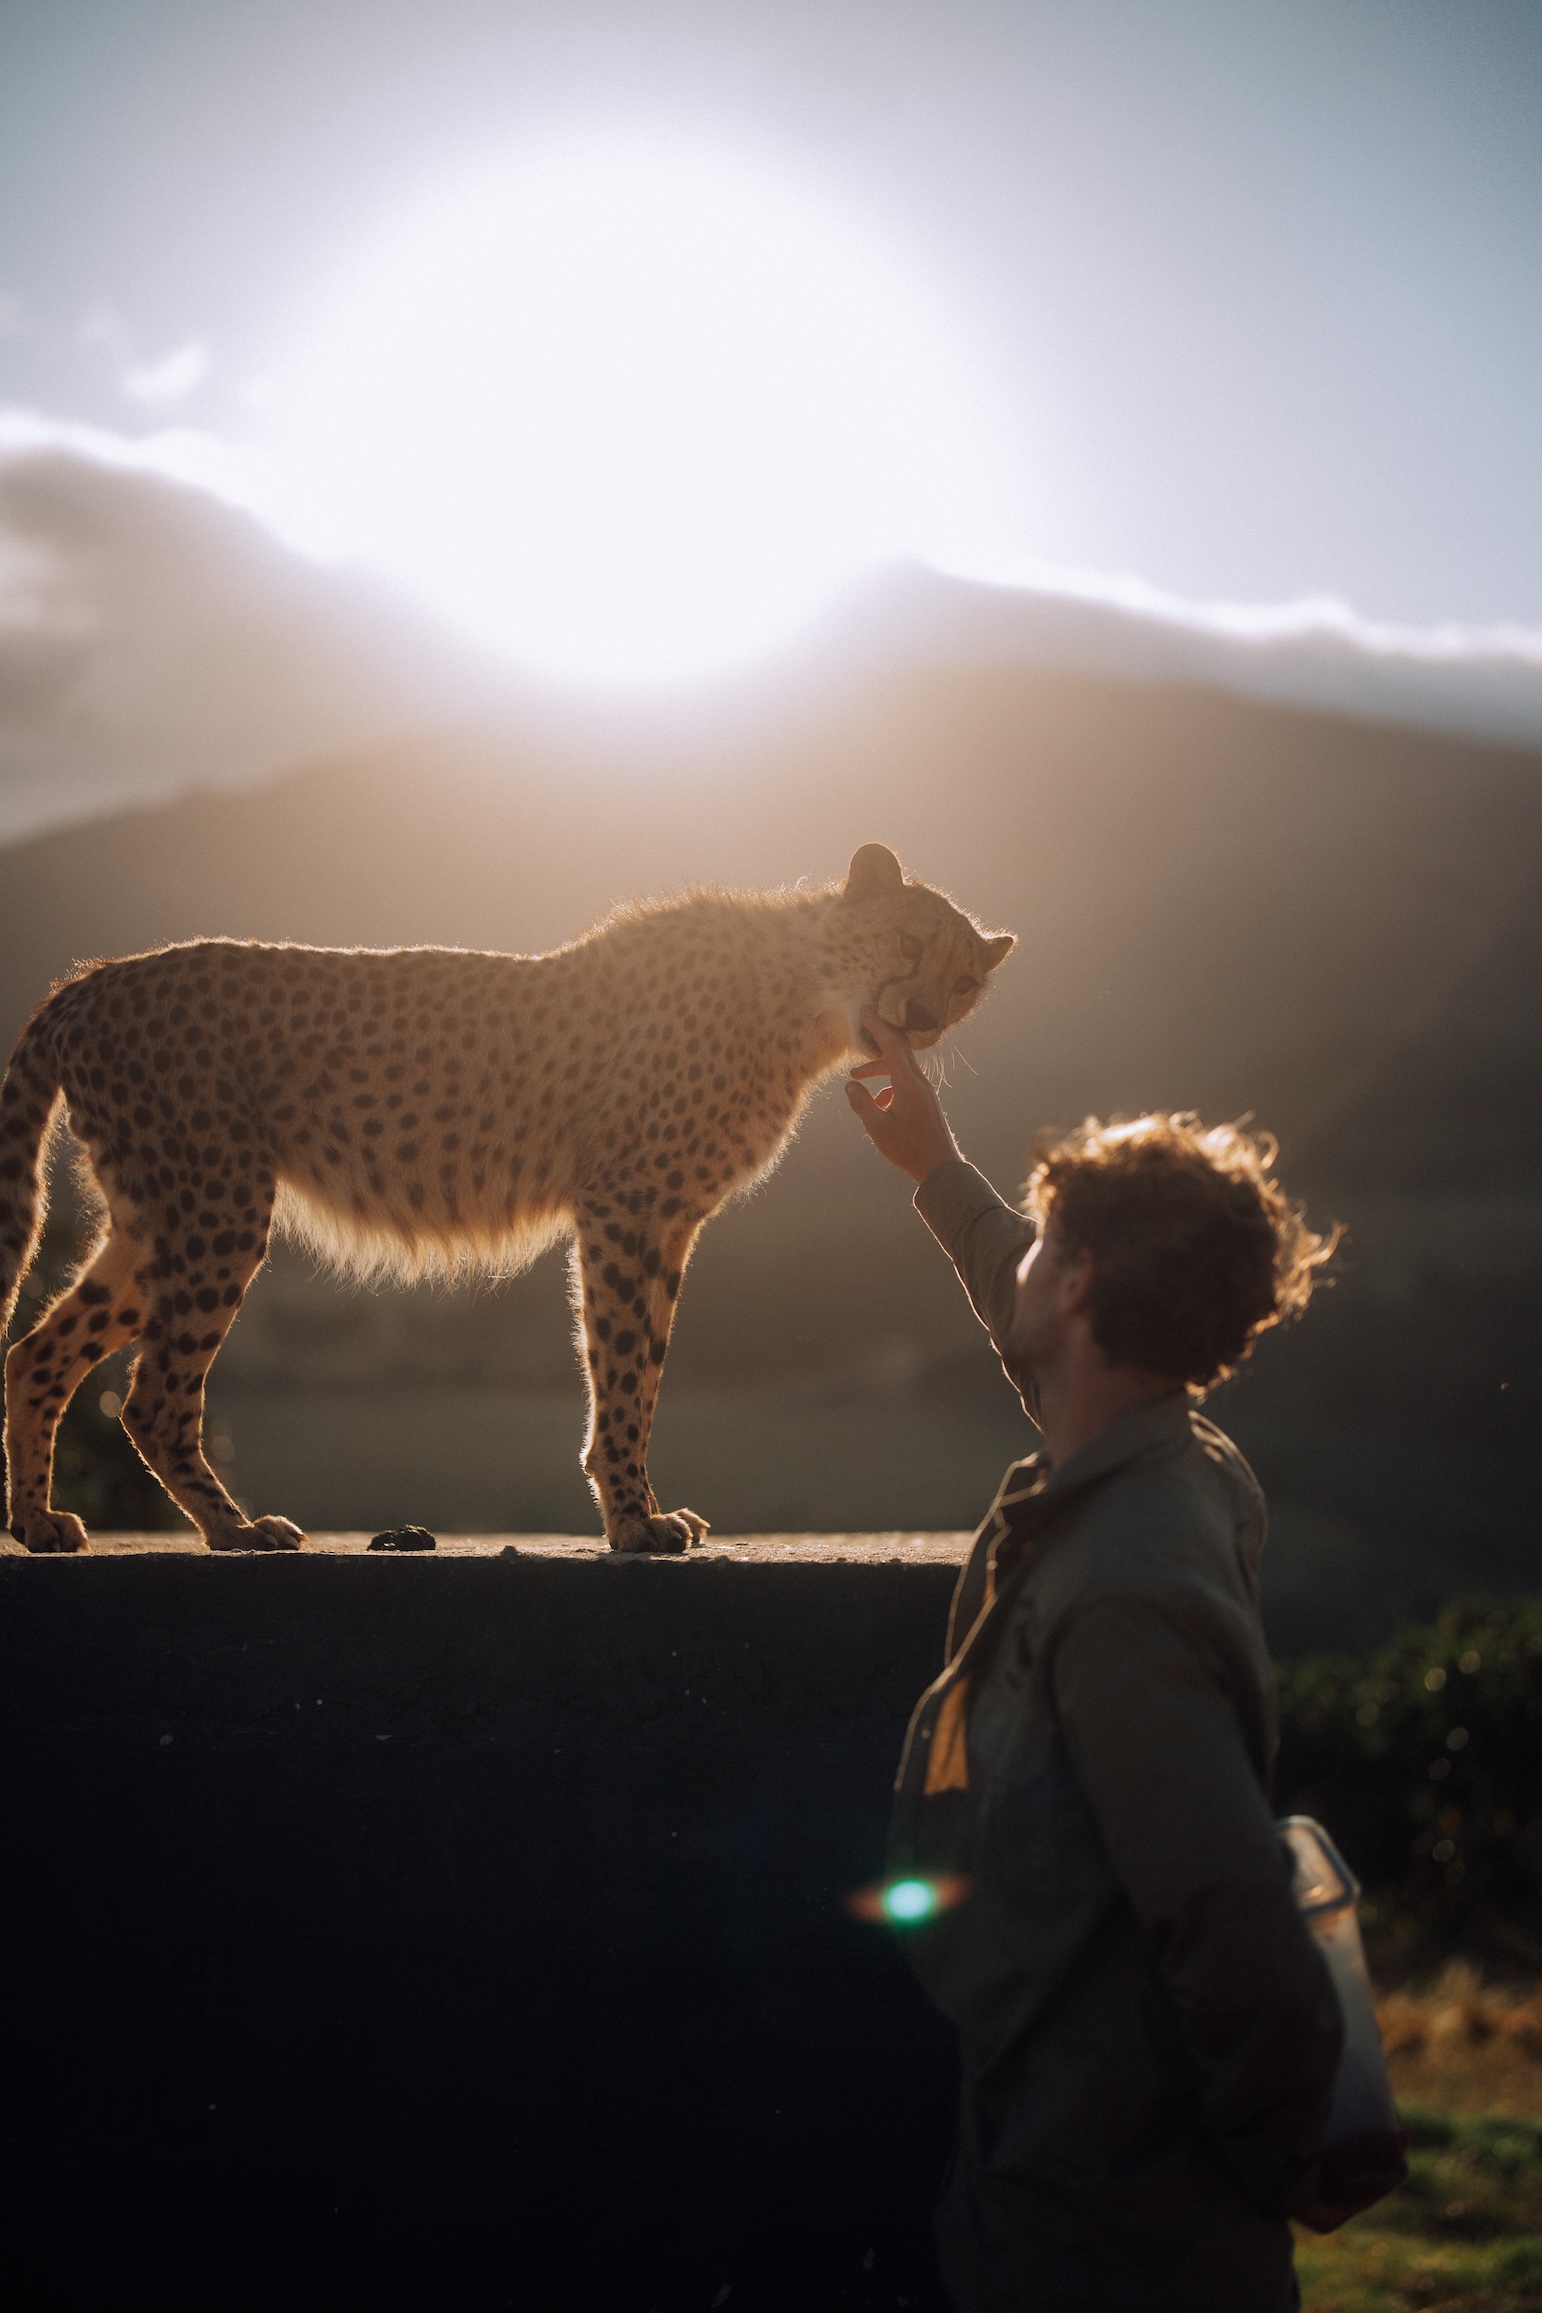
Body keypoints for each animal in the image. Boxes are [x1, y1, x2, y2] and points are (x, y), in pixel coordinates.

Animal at [0, 842, 1013, 1555]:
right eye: (910, 942)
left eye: (966, 981)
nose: (925, 1018)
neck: (801, 996)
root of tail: (92, 977)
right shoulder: (627, 1205)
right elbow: (624, 1366)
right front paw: (632, 1519)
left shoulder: (670, 1220)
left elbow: (644, 1361)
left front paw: (639, 1509)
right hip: (216, 1206)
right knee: (150, 1395)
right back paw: (235, 1528)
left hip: (158, 1217)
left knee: (37, 1351)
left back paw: (40, 1523)